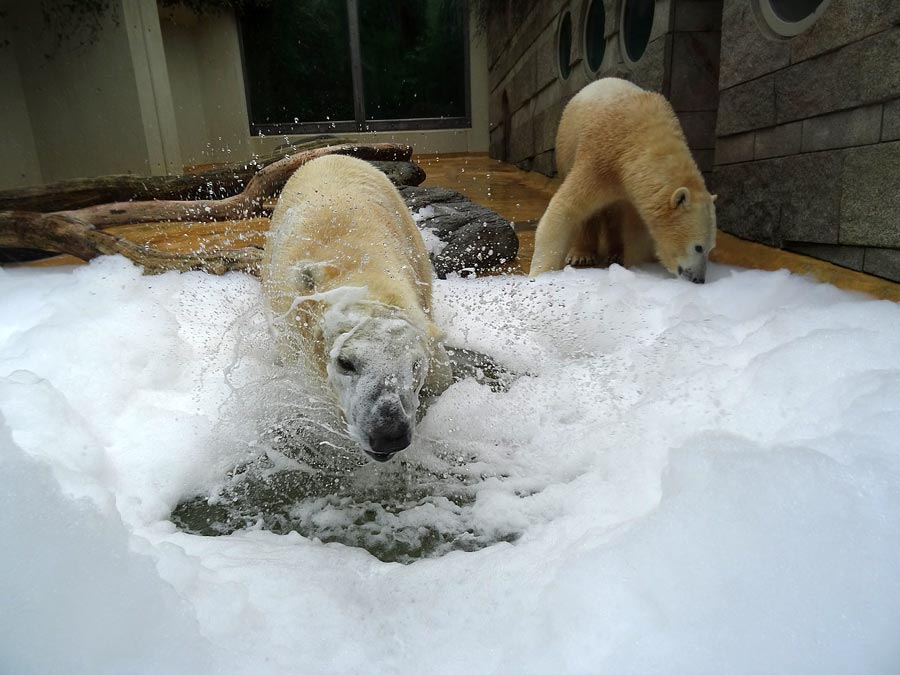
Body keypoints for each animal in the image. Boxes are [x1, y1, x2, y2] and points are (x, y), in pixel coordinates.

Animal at [528, 78, 716, 282]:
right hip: (566, 148)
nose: (699, 279)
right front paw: (540, 272)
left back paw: (616, 253)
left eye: (711, 248)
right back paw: (581, 254)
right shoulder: (600, 158)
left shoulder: (637, 189)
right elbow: (566, 208)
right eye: (698, 247)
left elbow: (638, 232)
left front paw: (637, 268)